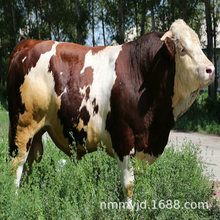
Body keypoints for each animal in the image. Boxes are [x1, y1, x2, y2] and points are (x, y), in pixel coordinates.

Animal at [7, 19, 214, 205]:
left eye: (199, 45)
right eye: (183, 49)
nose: (211, 69)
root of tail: (30, 43)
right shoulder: (124, 138)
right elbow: (129, 185)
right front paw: (130, 211)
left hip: (37, 130)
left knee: (29, 162)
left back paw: (27, 194)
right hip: (22, 126)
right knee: (17, 163)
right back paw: (15, 201)